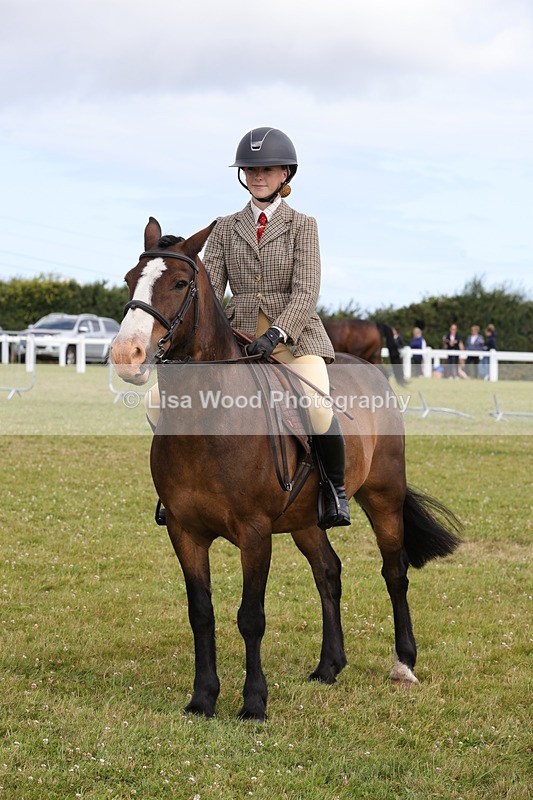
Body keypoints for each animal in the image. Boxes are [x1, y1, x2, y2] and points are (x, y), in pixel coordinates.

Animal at [110, 217, 461, 721]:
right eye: (128, 280)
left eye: (178, 283)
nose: (127, 355)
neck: (208, 418)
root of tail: (370, 368)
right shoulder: (184, 530)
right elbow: (201, 613)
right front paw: (202, 699)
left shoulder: (255, 531)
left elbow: (250, 617)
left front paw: (254, 702)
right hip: (305, 518)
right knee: (328, 572)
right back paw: (329, 666)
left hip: (384, 496)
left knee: (394, 572)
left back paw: (403, 665)